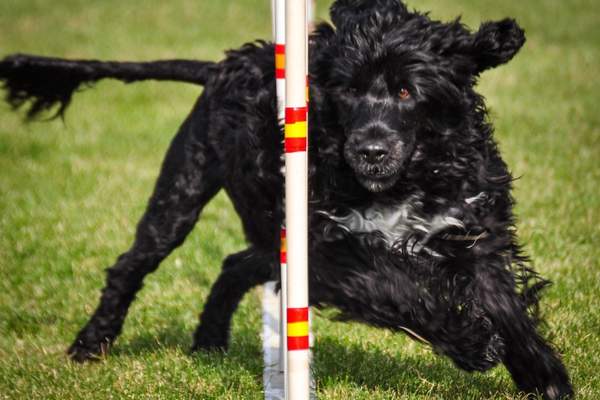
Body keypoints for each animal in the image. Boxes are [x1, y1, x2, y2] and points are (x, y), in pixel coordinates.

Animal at [0, 1, 572, 398]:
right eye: (347, 90)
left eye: (408, 91)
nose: (370, 151)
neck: (406, 180)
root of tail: (217, 67)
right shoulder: (329, 248)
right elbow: (400, 289)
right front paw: (471, 342)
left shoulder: (470, 231)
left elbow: (506, 305)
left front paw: (544, 376)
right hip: (183, 193)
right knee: (131, 265)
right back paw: (90, 344)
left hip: (264, 232)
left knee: (234, 264)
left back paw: (209, 341)